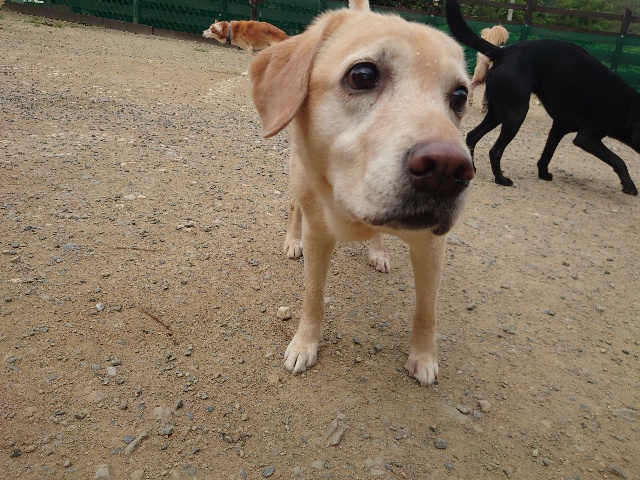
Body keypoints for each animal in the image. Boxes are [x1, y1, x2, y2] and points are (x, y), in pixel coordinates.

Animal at [249, 0, 474, 386]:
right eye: (363, 76)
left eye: (460, 96)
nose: (447, 170)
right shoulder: (318, 234)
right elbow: (313, 298)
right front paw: (304, 344)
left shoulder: (431, 246)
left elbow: (426, 310)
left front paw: (423, 356)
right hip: (297, 178)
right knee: (294, 207)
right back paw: (292, 240)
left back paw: (377, 250)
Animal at [446, 0, 639, 195]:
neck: (630, 107)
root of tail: (505, 51)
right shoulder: (587, 138)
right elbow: (618, 160)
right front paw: (629, 185)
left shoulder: (559, 127)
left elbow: (547, 153)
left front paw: (544, 173)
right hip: (516, 114)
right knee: (495, 150)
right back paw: (500, 179)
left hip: (498, 112)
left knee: (472, 136)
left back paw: (473, 169)